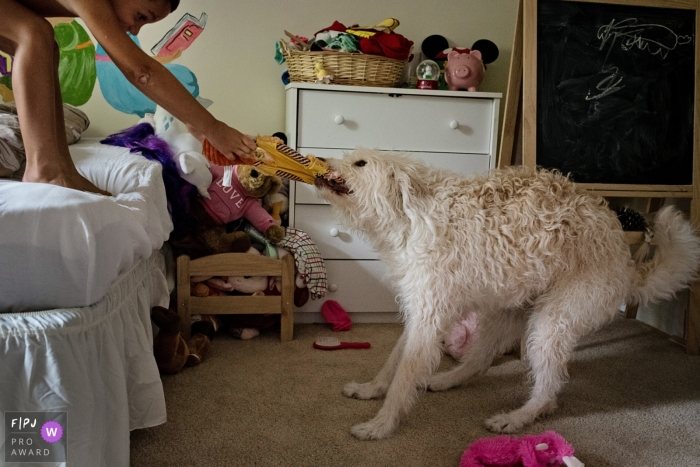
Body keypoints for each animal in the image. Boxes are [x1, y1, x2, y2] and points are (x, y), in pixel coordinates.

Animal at [316, 149, 700, 438]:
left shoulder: (428, 317)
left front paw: (380, 425)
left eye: (360, 163)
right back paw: (448, 380)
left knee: (548, 393)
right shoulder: (421, 313)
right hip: (503, 309)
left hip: (551, 324)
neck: (411, 216)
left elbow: (403, 378)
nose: (319, 159)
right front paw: (370, 390)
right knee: (480, 360)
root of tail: (625, 259)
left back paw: (516, 418)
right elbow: (392, 363)